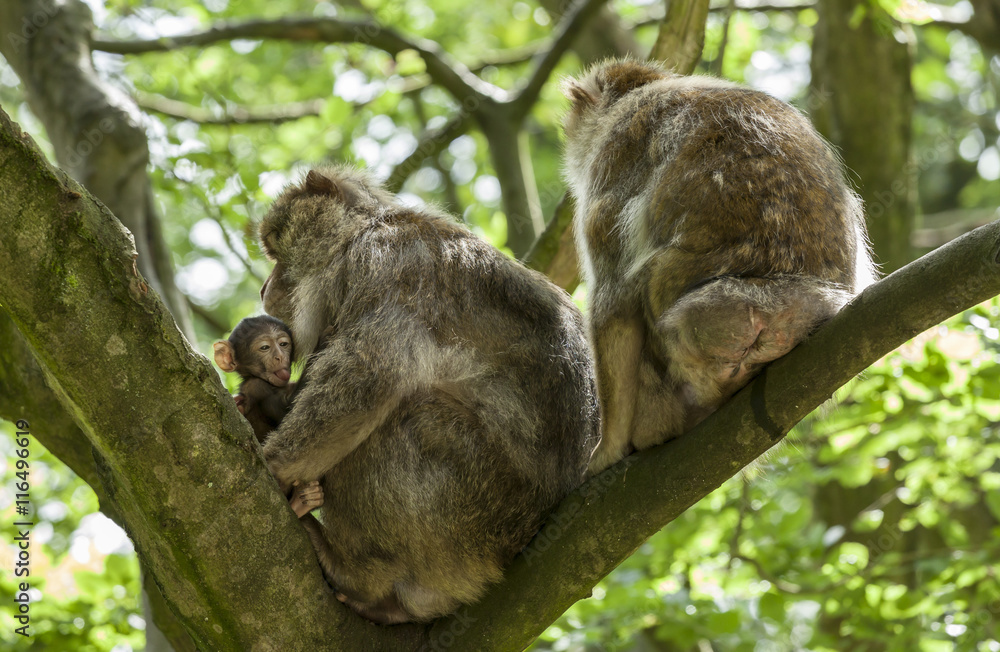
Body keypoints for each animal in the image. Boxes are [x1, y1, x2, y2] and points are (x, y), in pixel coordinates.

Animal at [212, 315, 324, 518]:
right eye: (264, 347)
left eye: (283, 344)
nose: (279, 356)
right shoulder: (257, 387)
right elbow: (289, 411)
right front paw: (325, 338)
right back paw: (299, 505)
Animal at [256, 165, 600, 624]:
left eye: (278, 253)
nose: (264, 287)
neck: (357, 236)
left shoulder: (387, 265)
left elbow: (373, 373)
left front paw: (274, 464)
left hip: (473, 514)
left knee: (404, 420)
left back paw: (356, 574)